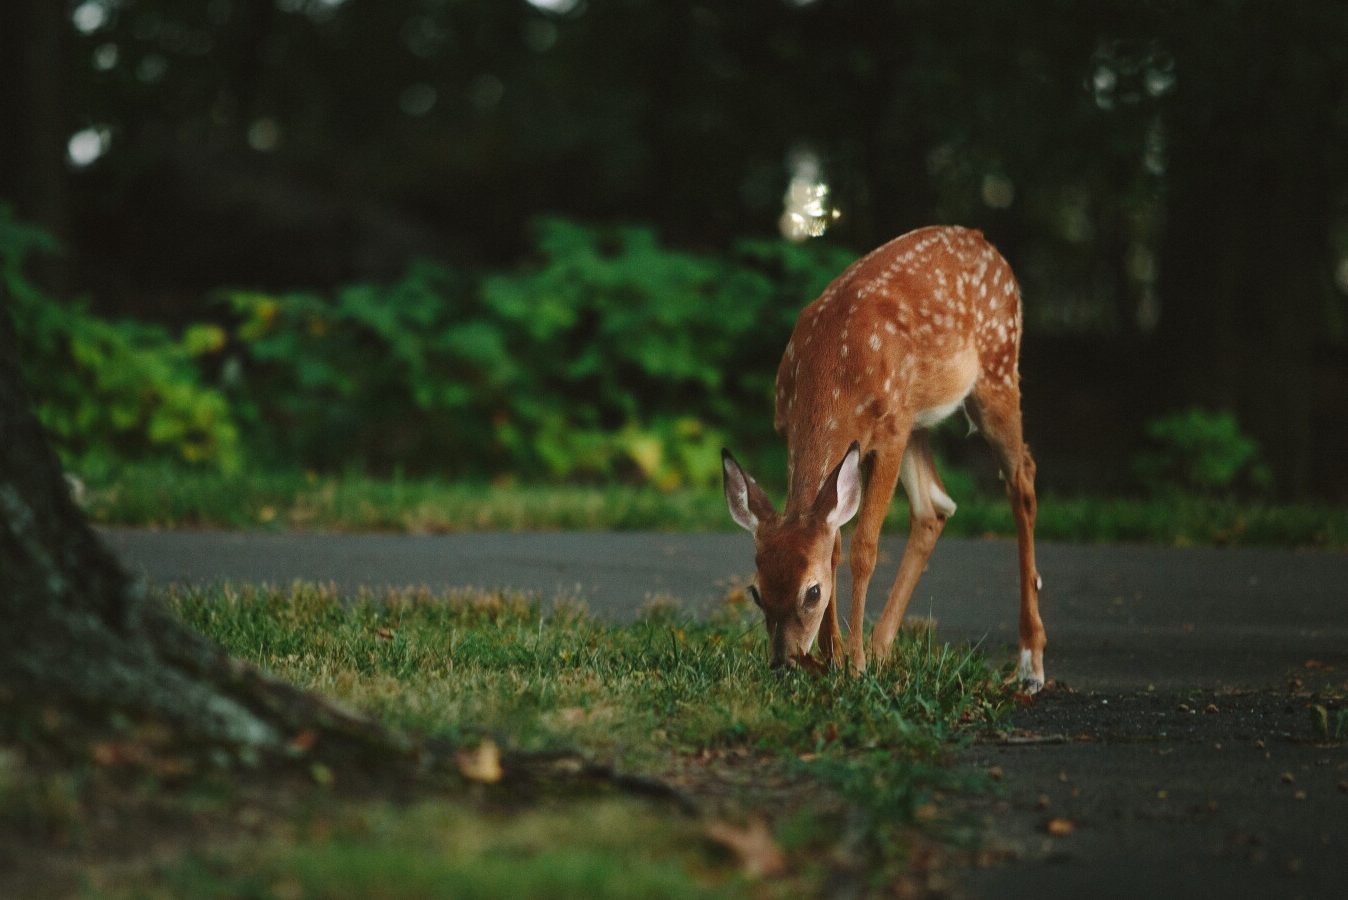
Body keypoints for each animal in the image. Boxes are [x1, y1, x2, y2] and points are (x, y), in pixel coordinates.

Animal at [721, 225, 1046, 691]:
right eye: (756, 591)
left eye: (812, 592)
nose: (784, 663)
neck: (832, 372)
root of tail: (985, 242)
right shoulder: (796, 431)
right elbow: (834, 543)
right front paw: (834, 658)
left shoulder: (889, 433)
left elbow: (863, 548)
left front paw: (852, 665)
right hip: (918, 418)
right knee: (935, 506)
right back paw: (881, 649)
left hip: (996, 370)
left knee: (1022, 479)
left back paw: (1030, 663)